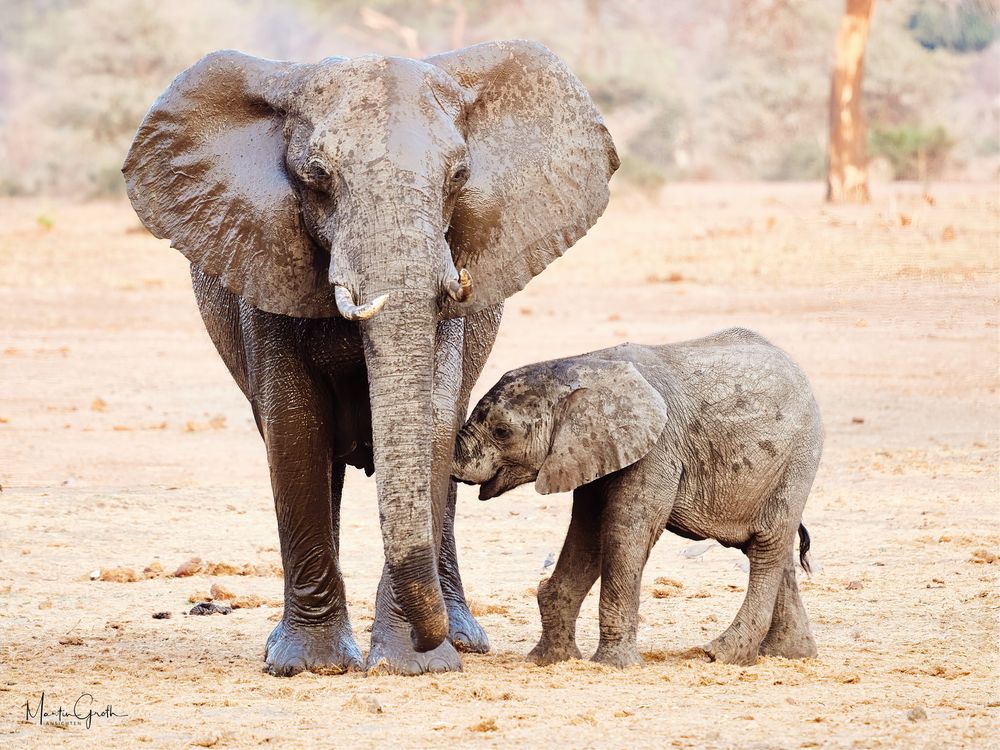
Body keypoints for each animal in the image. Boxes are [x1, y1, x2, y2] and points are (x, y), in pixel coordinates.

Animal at [121, 38, 612, 680]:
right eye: (317, 176)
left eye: (459, 176)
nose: (429, 642)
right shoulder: (266, 257)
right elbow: (296, 425)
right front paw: (309, 667)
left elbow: (432, 423)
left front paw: (417, 667)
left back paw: (462, 637)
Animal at [454, 328, 820, 668]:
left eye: (502, 432)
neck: (585, 365)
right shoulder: (591, 451)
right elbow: (588, 534)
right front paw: (549, 660)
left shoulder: (658, 447)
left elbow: (625, 529)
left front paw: (613, 666)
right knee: (772, 547)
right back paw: (789, 655)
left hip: (797, 458)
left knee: (767, 546)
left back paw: (720, 655)